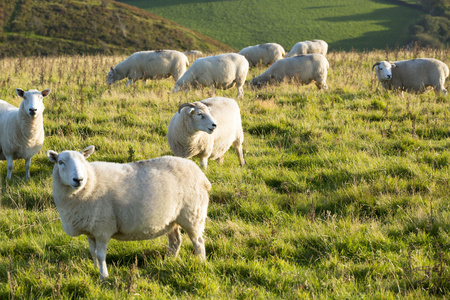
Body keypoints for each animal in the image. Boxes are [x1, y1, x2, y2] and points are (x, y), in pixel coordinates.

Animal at [46, 145, 212, 278]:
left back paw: (201, 263)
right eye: (60, 162)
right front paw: (95, 269)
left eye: (82, 161)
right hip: (172, 219)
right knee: (176, 242)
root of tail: (200, 174)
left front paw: (104, 276)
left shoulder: (102, 229)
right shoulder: (91, 230)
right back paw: (167, 262)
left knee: (198, 242)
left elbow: (100, 255)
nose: (78, 180)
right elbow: (92, 252)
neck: (90, 182)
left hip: (192, 215)